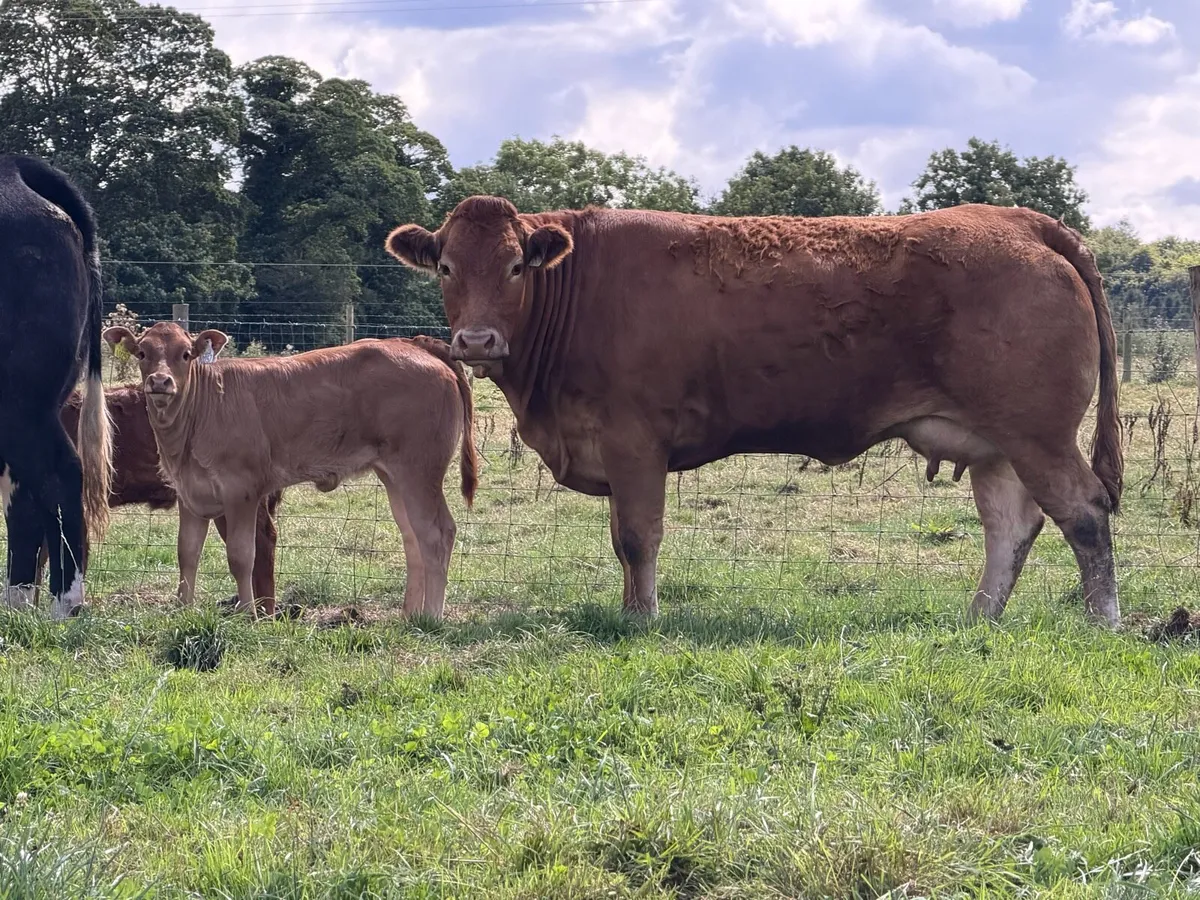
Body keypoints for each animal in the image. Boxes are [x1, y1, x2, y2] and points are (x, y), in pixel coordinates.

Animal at [101, 322, 478, 620]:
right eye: (142, 352)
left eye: (184, 354)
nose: (160, 381)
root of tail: (414, 344)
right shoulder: (190, 493)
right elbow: (187, 553)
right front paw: (183, 609)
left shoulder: (241, 490)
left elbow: (242, 555)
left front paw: (247, 614)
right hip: (395, 476)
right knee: (413, 537)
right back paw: (409, 614)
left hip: (420, 470)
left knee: (437, 533)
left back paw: (431, 617)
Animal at [384, 196, 1124, 626]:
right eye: (446, 267)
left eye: (516, 266)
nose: (476, 341)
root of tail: (1016, 220)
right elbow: (622, 540)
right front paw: (630, 610)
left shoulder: (634, 440)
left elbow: (637, 537)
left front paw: (642, 619)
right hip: (996, 444)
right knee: (1012, 527)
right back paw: (979, 616)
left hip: (1039, 435)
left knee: (1084, 514)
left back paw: (1103, 621)